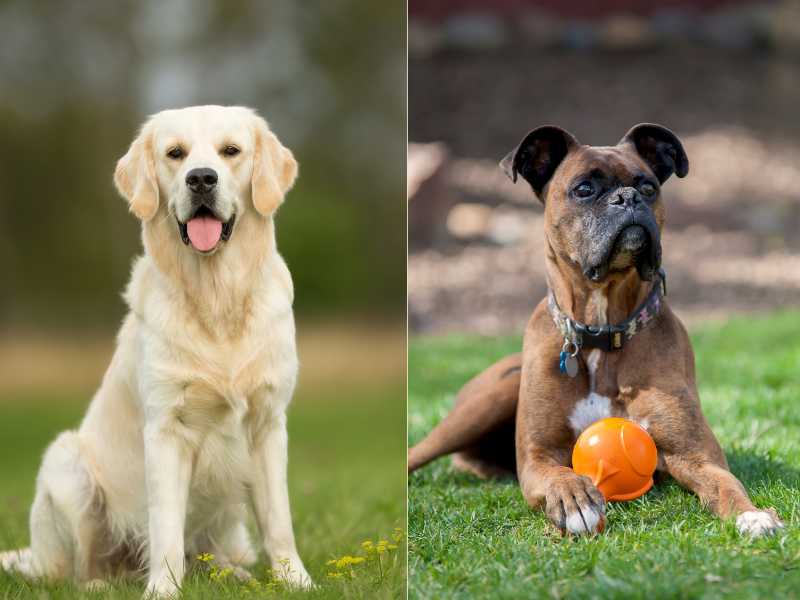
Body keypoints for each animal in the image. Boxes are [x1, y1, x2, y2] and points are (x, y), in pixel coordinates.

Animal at [0, 104, 310, 596]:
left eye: (231, 151)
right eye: (175, 153)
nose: (201, 179)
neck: (216, 300)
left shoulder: (268, 423)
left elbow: (279, 519)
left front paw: (295, 579)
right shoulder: (166, 428)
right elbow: (165, 525)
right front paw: (163, 589)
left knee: (213, 553)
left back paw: (232, 572)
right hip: (68, 468)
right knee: (77, 571)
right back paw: (100, 584)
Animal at [410, 124, 784, 536]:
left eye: (648, 187)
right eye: (584, 188)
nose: (628, 198)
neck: (600, 334)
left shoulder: (696, 455)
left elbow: (726, 484)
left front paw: (753, 515)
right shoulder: (538, 457)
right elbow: (560, 475)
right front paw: (575, 500)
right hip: (486, 402)